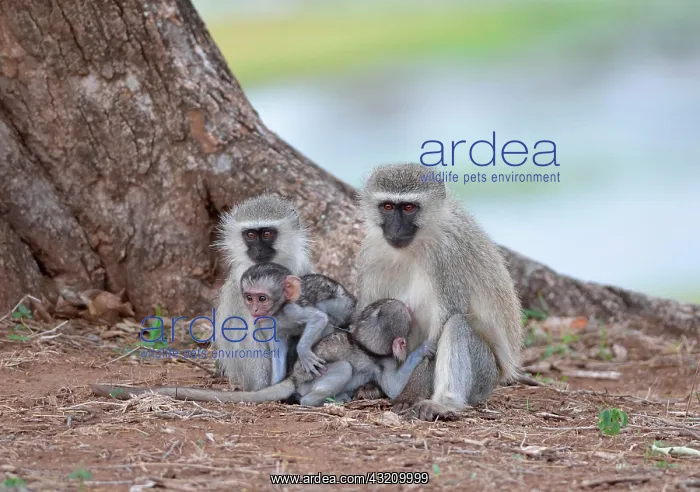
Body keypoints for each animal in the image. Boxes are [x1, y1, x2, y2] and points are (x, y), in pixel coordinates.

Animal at [91, 299, 436, 407]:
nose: (407, 307)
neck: (365, 343)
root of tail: (293, 378)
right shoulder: (382, 360)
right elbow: (394, 387)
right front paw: (422, 348)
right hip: (315, 381)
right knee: (341, 371)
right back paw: (324, 400)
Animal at [356, 163, 523, 421]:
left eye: (409, 207)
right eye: (387, 206)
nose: (396, 228)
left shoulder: (446, 254)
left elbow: (444, 320)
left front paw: (410, 393)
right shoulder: (371, 252)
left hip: (485, 374)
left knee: (456, 325)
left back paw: (443, 404)